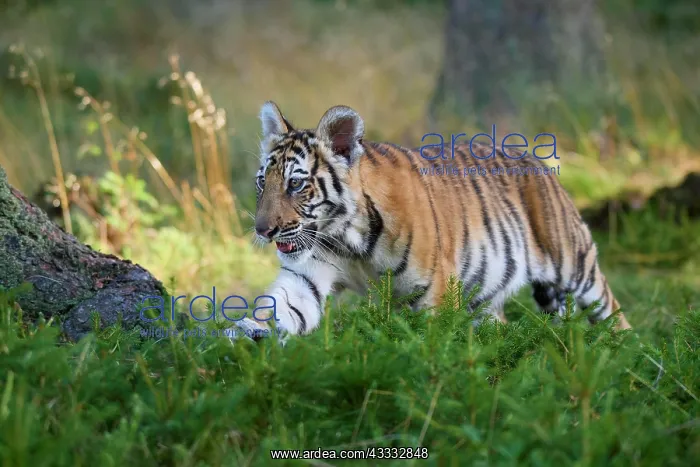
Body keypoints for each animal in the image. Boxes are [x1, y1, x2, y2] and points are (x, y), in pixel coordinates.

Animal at [234, 101, 631, 341]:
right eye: (262, 182)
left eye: (295, 184)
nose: (263, 231)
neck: (347, 238)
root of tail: (536, 160)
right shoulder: (306, 274)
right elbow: (281, 305)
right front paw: (244, 334)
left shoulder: (433, 293)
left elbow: (432, 347)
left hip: (574, 265)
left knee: (611, 310)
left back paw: (629, 351)